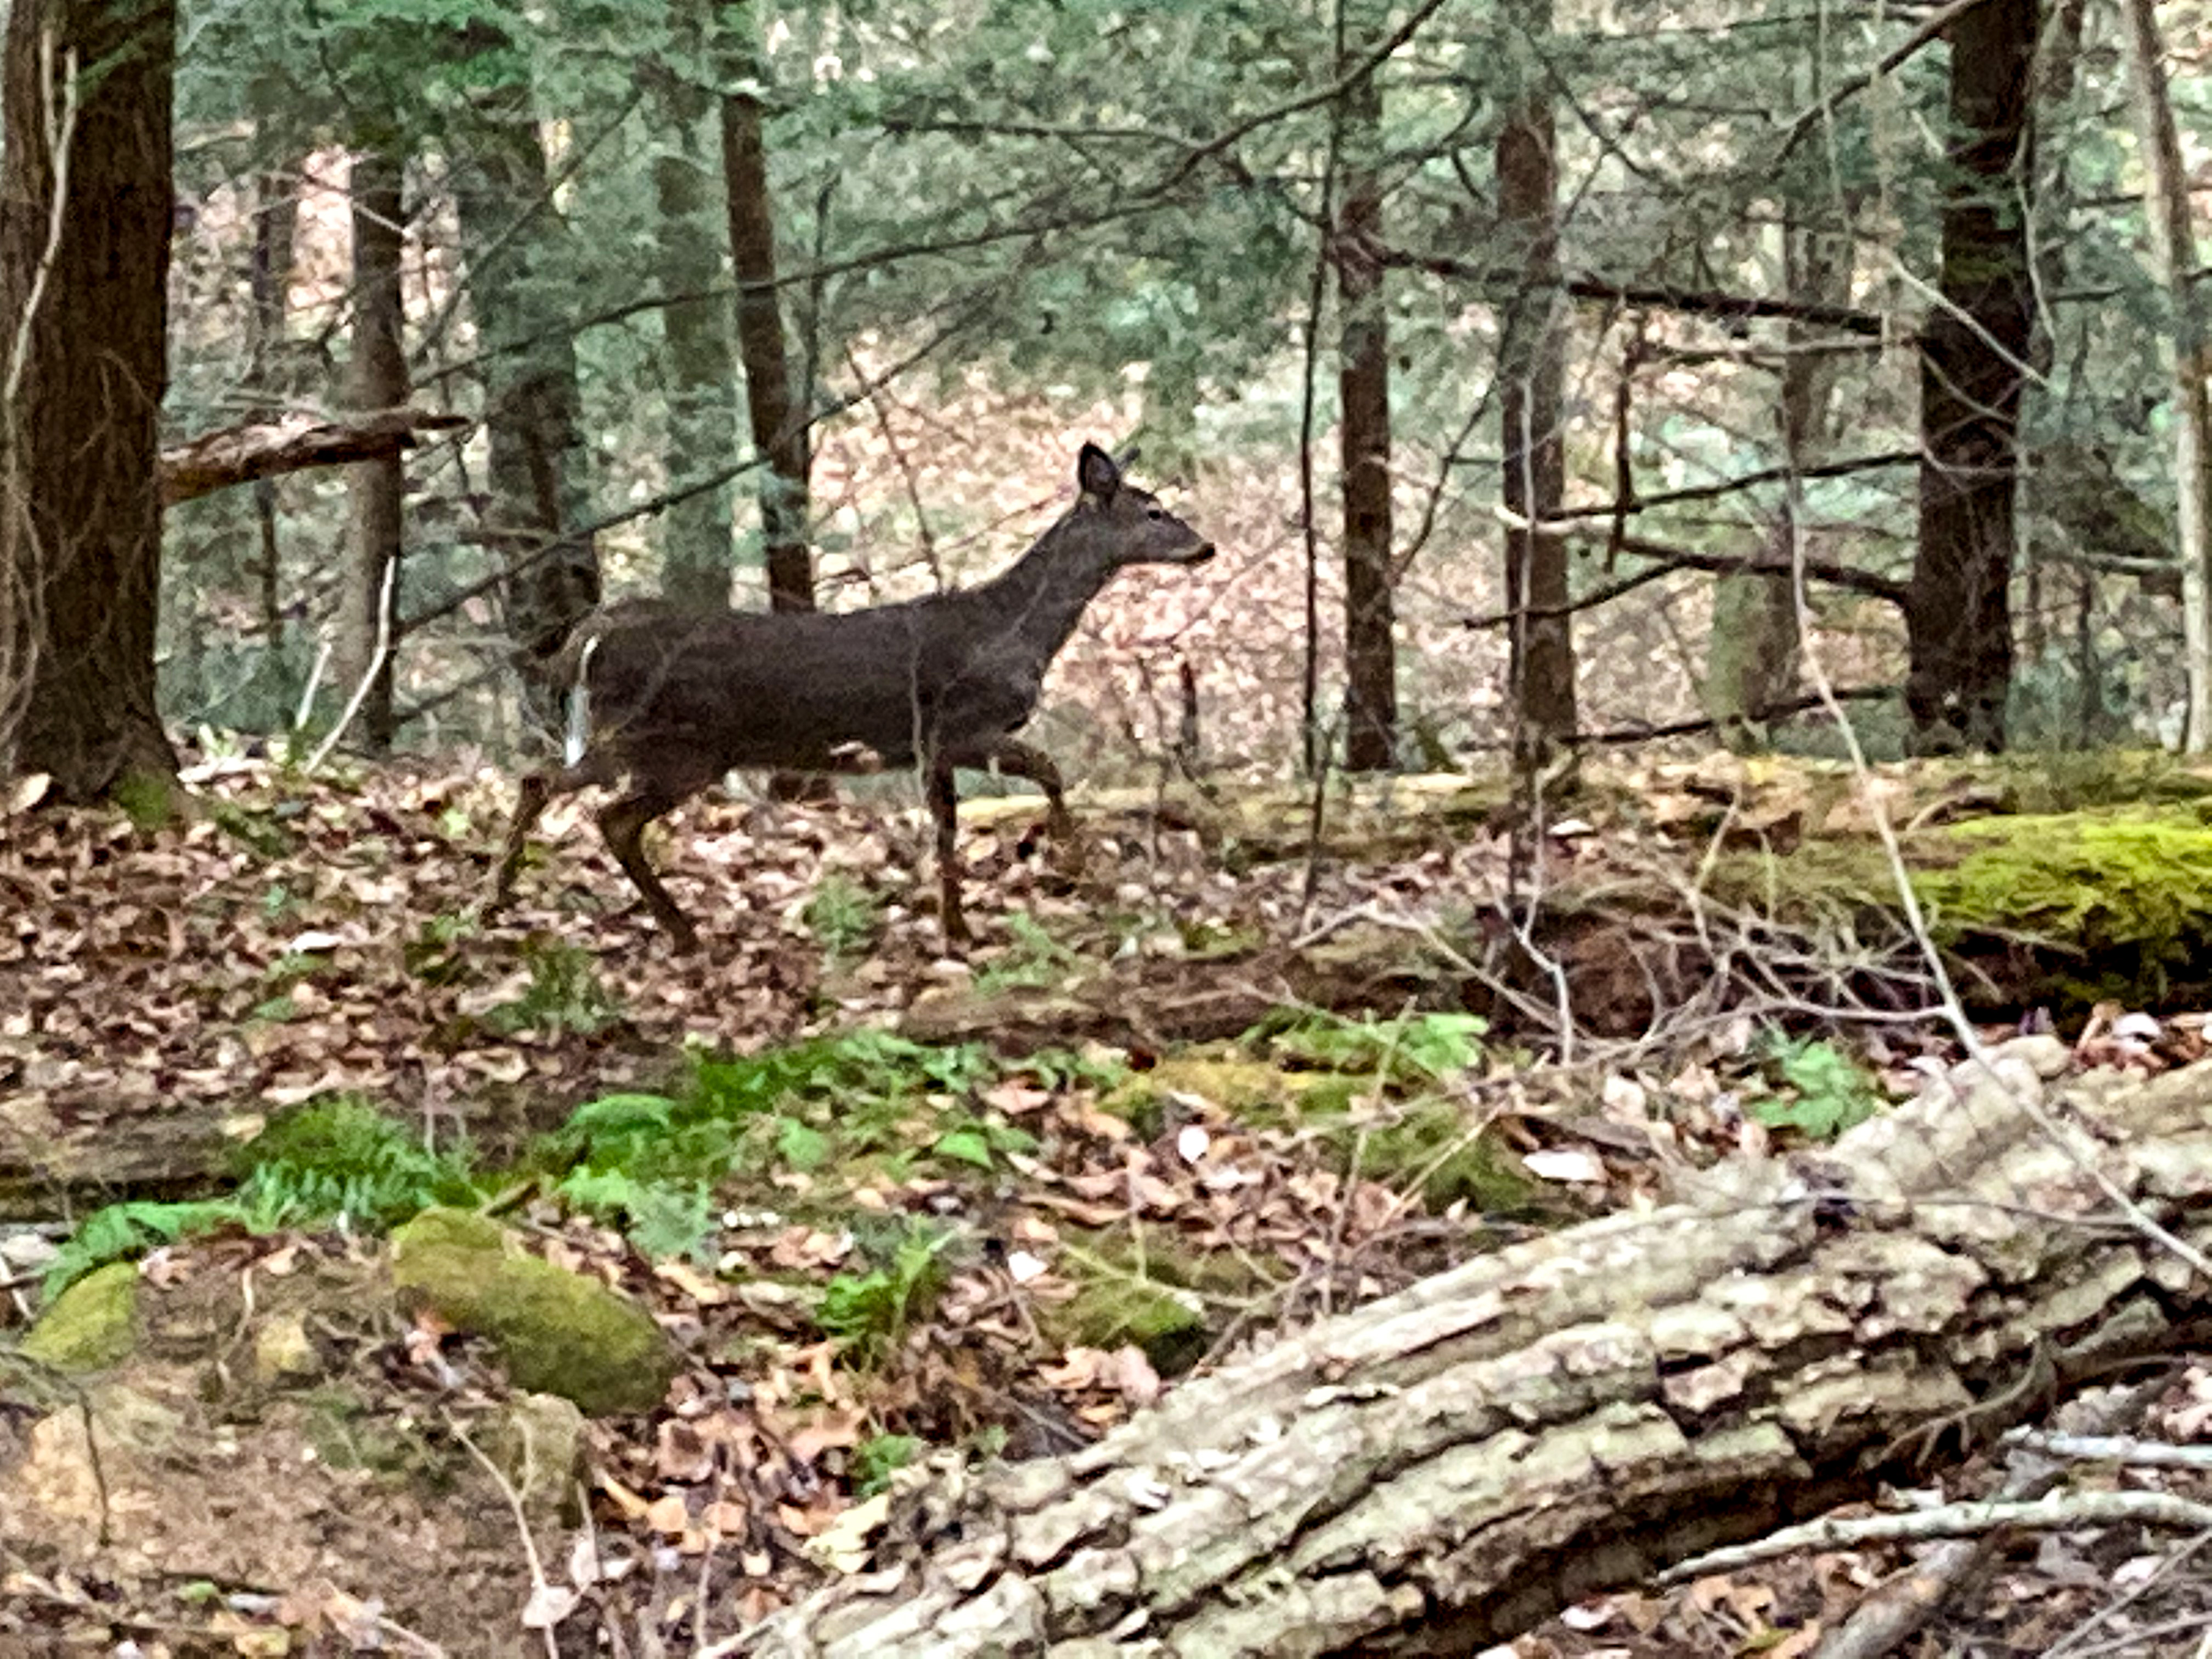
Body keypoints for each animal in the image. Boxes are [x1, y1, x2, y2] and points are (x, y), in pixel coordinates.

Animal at [487, 442, 1221, 955]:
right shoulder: (956, 726)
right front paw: (1063, 869)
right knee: (597, 810)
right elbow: (1038, 776)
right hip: (674, 742)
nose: (1206, 545)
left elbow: (962, 819)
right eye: (1154, 512)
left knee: (551, 785)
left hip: (653, 742)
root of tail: (594, 630)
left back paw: (522, 905)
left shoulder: (933, 746)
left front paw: (963, 923)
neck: (1013, 629)